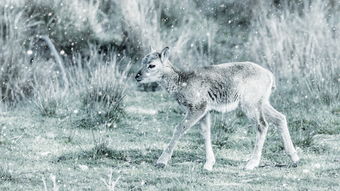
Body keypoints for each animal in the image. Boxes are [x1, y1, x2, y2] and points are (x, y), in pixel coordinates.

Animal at [134, 47, 298, 169]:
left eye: (152, 65)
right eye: (142, 61)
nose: (137, 76)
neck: (182, 82)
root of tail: (270, 76)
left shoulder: (198, 107)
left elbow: (180, 128)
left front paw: (161, 161)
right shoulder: (205, 112)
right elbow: (206, 133)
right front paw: (209, 163)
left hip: (250, 104)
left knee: (262, 125)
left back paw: (251, 164)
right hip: (261, 102)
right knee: (280, 118)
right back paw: (295, 158)